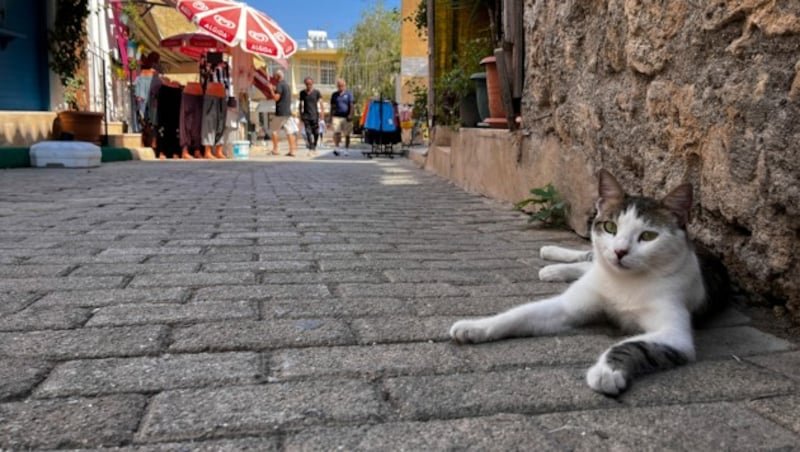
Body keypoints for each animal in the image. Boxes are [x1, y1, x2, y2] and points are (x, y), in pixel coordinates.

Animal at [450, 170, 732, 396]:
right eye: (610, 227)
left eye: (648, 236)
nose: (619, 251)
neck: (623, 283)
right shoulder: (570, 305)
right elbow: (519, 314)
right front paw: (475, 326)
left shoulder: (674, 334)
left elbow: (633, 345)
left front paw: (607, 372)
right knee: (588, 257)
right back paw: (551, 257)